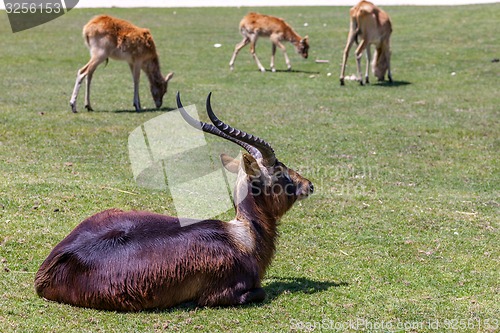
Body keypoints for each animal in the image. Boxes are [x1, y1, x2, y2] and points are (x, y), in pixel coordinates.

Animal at [35, 92, 314, 310]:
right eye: (279, 171)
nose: (308, 185)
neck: (242, 237)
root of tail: (47, 271)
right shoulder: (223, 294)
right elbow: (261, 292)